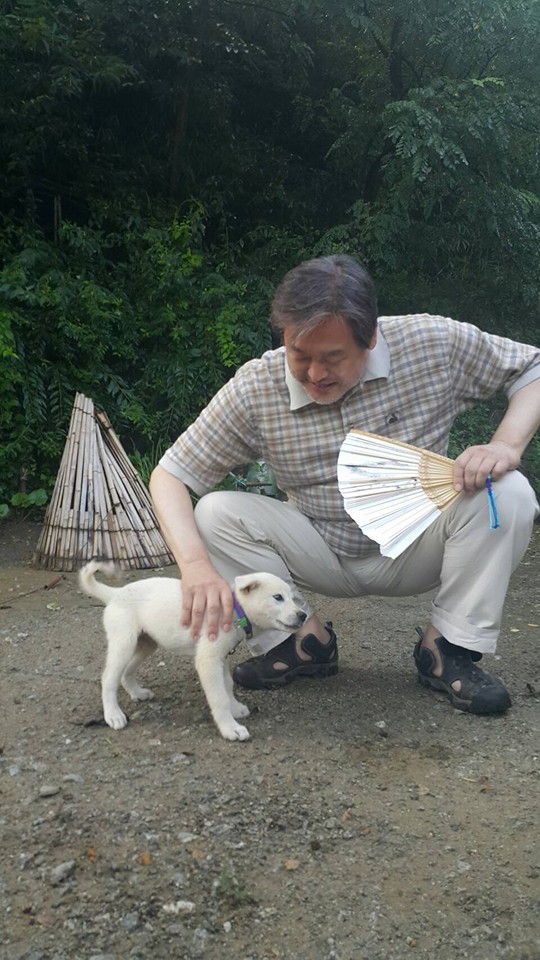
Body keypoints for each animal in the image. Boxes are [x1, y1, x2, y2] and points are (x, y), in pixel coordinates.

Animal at [79, 561, 307, 741]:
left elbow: (227, 685)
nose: (303, 615)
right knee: (108, 678)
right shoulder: (208, 661)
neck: (233, 609)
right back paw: (113, 714)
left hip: (146, 644)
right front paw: (230, 728)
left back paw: (137, 692)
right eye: (278, 597)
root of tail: (115, 593)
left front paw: (235, 707)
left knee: (127, 672)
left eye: (290, 597)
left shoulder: (221, 657)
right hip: (123, 643)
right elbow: (219, 697)